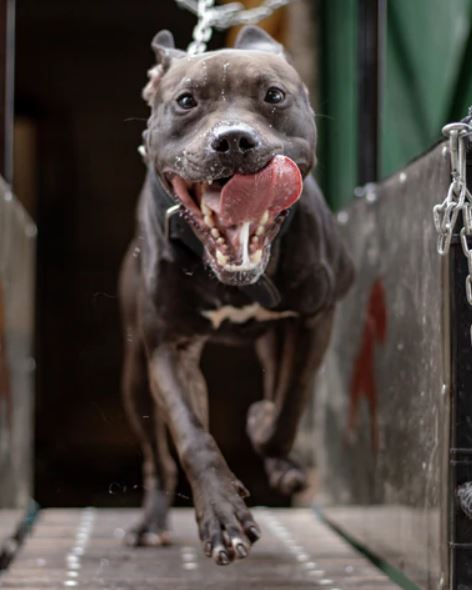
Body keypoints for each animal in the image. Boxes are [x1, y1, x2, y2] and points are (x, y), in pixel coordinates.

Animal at [120, 26, 352, 568]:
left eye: (274, 96)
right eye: (186, 101)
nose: (232, 140)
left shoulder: (314, 318)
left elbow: (290, 402)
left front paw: (265, 428)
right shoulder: (168, 347)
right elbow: (192, 435)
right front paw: (222, 517)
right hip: (136, 376)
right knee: (158, 458)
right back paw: (151, 523)